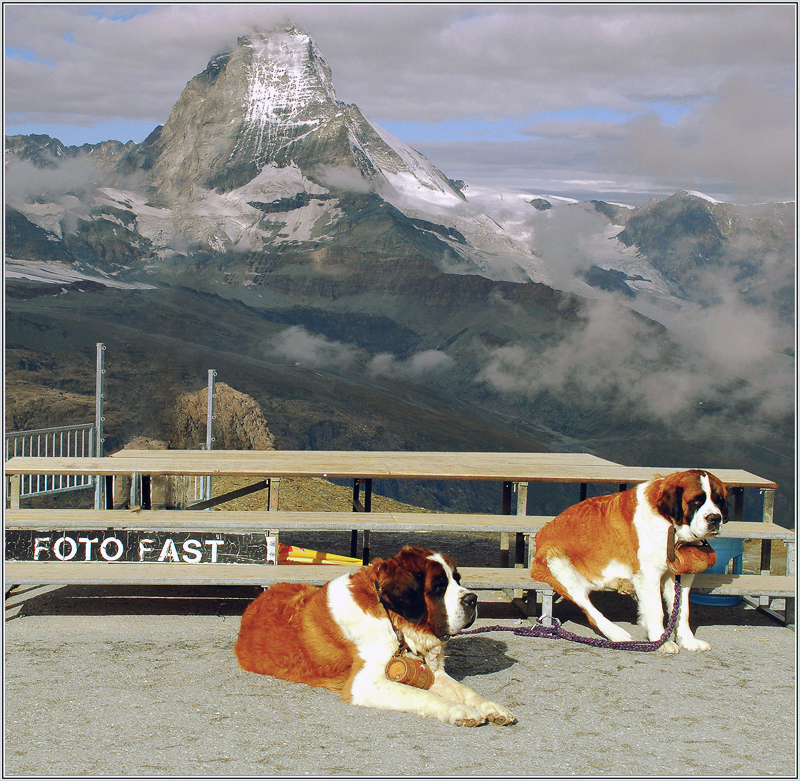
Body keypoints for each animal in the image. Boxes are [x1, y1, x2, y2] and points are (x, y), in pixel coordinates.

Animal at [234, 544, 516, 724]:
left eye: (457, 579)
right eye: (438, 586)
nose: (472, 599)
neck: (392, 618)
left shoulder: (432, 672)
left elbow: (466, 691)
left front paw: (492, 707)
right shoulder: (364, 684)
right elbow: (422, 694)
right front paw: (460, 711)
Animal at [528, 470, 728, 652]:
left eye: (718, 501)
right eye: (696, 501)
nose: (715, 518)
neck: (670, 524)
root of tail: (539, 536)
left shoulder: (681, 575)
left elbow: (681, 609)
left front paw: (688, 641)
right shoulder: (649, 573)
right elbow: (656, 609)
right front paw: (661, 641)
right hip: (557, 562)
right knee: (589, 609)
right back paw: (617, 634)